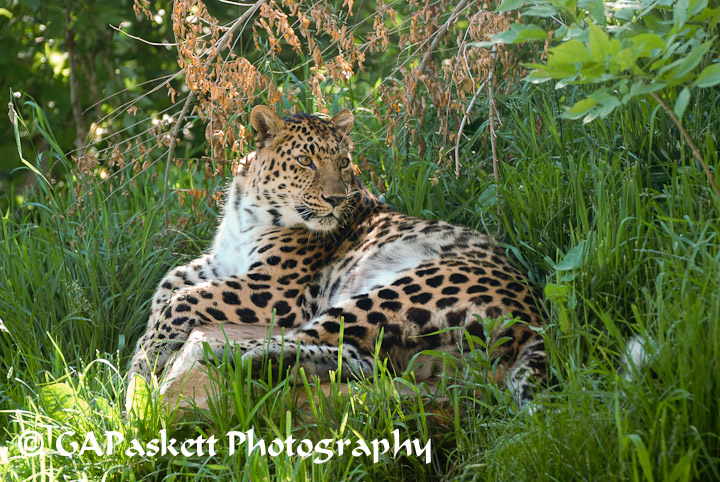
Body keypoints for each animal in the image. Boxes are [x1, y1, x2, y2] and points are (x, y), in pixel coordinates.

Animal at [127, 105, 546, 406]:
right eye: (305, 161)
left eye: (343, 162)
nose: (335, 199)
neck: (247, 208)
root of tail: (538, 315)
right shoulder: (223, 261)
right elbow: (169, 284)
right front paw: (141, 359)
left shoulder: (275, 289)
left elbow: (184, 299)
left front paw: (146, 365)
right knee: (364, 360)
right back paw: (261, 362)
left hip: (400, 290)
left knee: (317, 335)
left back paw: (229, 353)